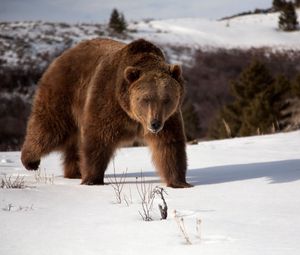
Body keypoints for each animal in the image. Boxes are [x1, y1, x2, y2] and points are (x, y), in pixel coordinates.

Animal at [20, 38, 192, 188]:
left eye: (166, 99)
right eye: (145, 99)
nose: (155, 124)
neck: (132, 114)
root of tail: (63, 55)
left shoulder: (169, 118)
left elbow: (170, 145)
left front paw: (179, 182)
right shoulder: (108, 102)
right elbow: (98, 138)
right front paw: (92, 180)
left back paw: (74, 172)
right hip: (64, 93)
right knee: (50, 127)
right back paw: (30, 161)